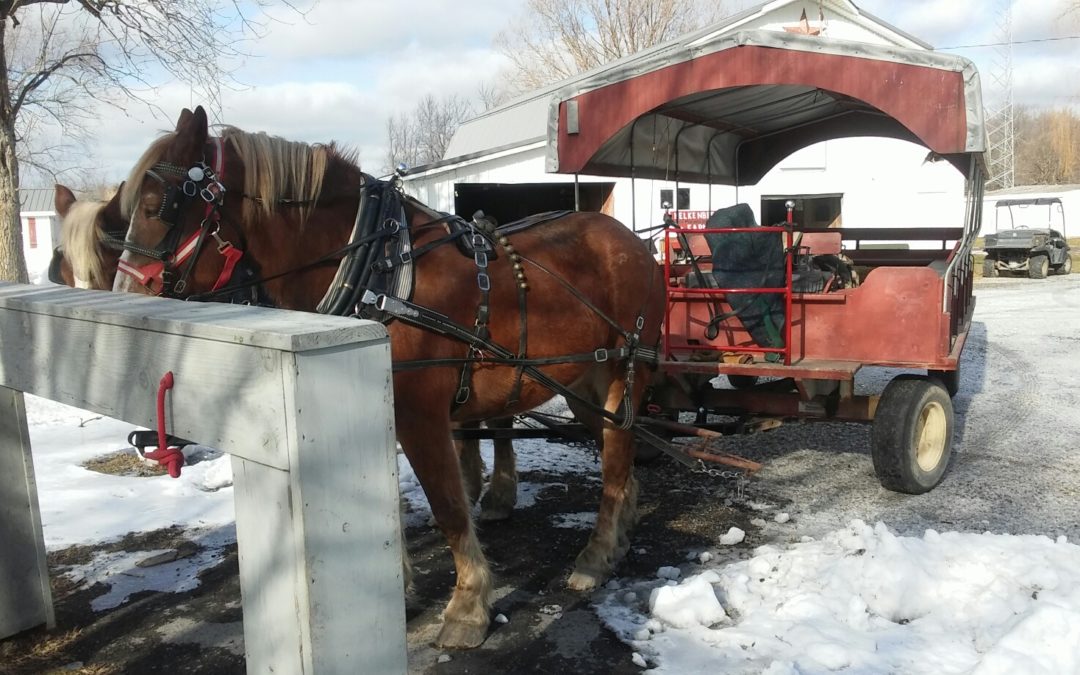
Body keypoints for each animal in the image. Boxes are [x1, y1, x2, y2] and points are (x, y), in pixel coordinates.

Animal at [111, 106, 665, 648]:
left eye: (160, 207)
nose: (122, 299)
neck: (377, 273)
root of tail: (633, 242)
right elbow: (390, 505)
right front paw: (394, 591)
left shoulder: (421, 417)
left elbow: (448, 506)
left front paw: (467, 608)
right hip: (582, 385)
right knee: (620, 457)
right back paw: (621, 533)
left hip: (624, 375)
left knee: (616, 459)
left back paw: (595, 557)